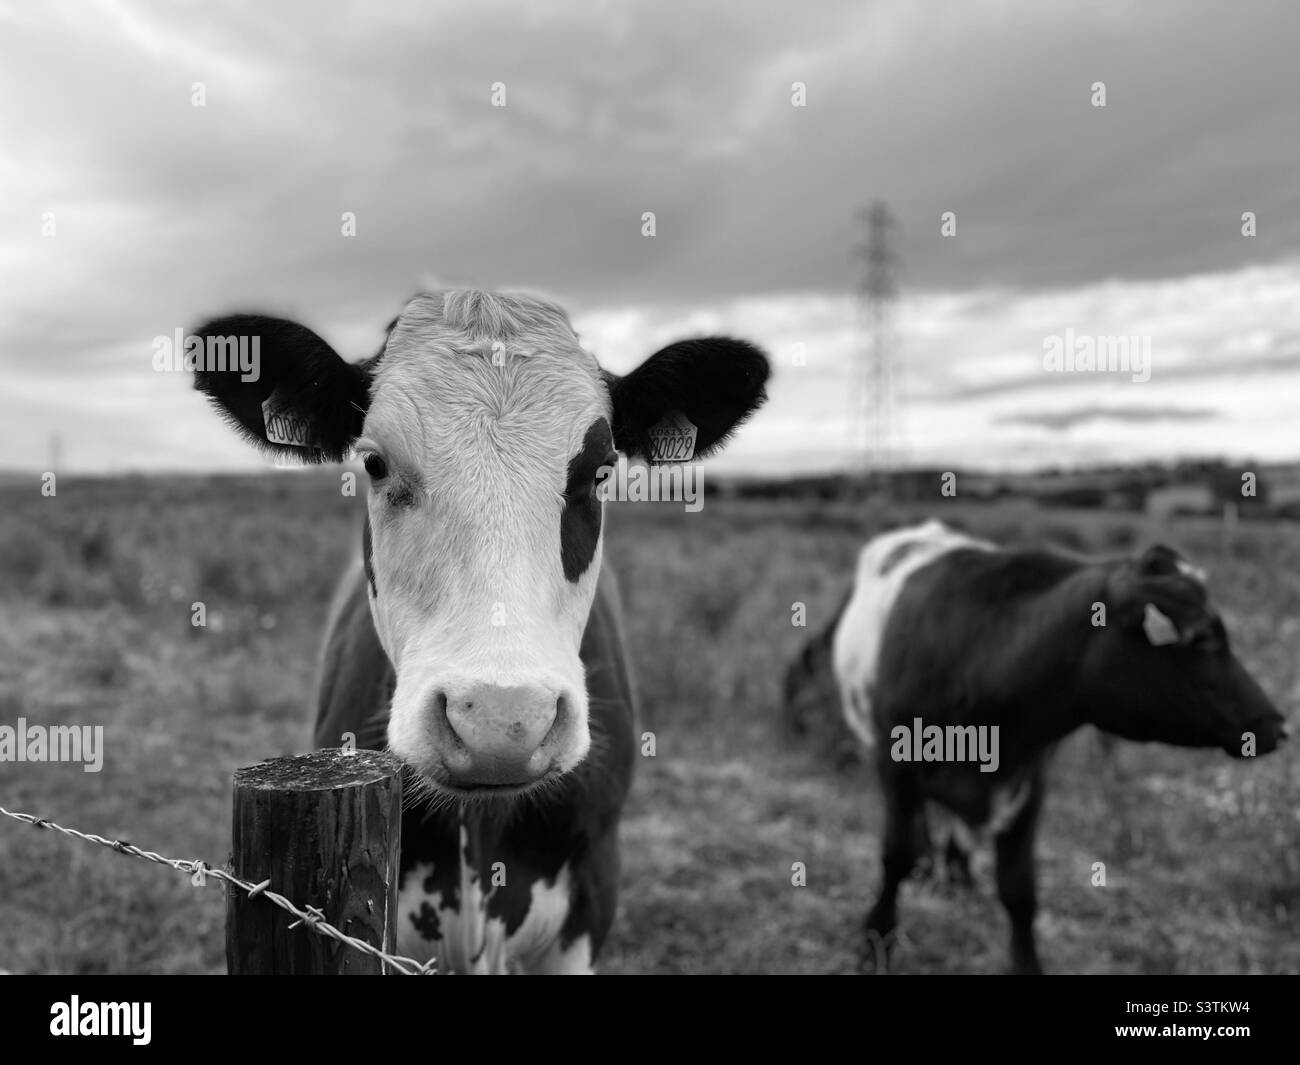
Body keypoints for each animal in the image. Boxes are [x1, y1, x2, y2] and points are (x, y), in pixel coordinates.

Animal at [785, 519, 1289, 974]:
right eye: (1201, 639)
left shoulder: (1028, 780)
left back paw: (958, 871)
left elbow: (1019, 889)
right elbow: (896, 857)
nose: (1276, 726)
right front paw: (877, 941)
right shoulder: (896, 767)